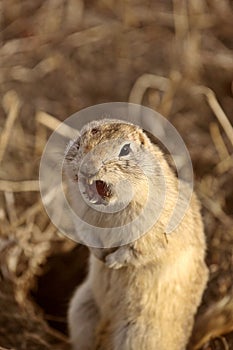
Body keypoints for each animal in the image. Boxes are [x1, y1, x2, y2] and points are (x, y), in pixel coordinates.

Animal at [64, 119, 208, 348]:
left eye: (125, 150)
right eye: (80, 141)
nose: (88, 168)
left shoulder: (154, 232)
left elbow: (137, 250)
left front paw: (111, 262)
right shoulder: (81, 218)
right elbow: (88, 235)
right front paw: (101, 256)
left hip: (138, 336)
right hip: (81, 308)